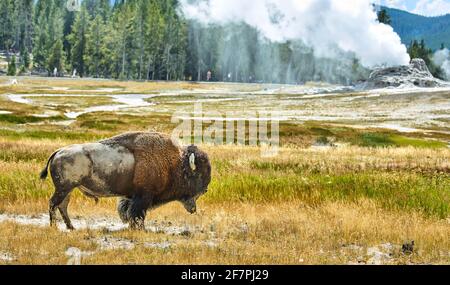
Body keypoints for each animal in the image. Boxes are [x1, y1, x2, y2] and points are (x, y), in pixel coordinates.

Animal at [39, 131, 212, 229]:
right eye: (198, 175)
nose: (205, 190)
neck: (174, 163)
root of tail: (58, 152)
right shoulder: (143, 197)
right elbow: (136, 214)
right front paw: (140, 229)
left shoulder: (132, 197)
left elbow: (128, 211)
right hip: (63, 188)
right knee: (54, 204)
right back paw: (54, 227)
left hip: (68, 189)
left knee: (62, 205)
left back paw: (71, 227)